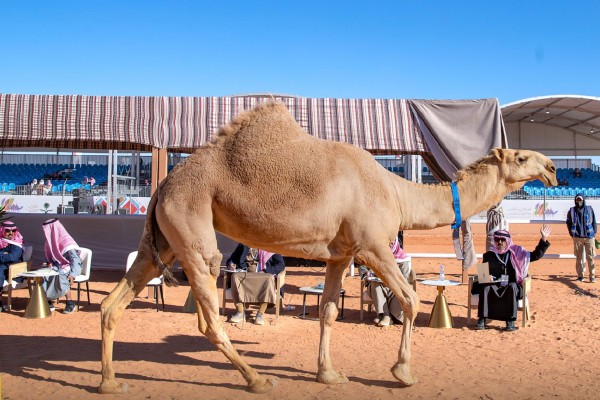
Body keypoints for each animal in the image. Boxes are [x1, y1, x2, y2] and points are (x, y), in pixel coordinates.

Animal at [98, 101, 556, 396]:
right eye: (520, 156)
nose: (552, 168)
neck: (396, 192)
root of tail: (161, 187)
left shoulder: (342, 253)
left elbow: (329, 310)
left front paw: (329, 374)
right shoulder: (373, 246)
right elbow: (409, 299)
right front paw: (403, 372)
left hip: (162, 240)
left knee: (114, 302)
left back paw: (109, 381)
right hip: (192, 225)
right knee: (209, 315)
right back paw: (257, 379)